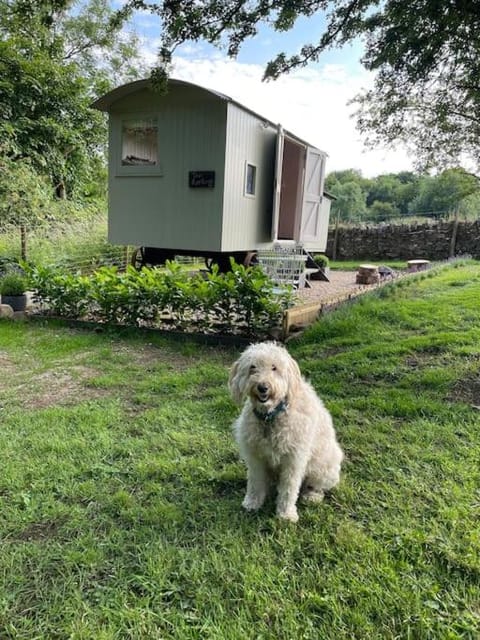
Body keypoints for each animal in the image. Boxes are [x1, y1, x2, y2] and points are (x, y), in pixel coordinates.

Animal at [228, 342, 342, 524]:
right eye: (252, 367)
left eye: (274, 368)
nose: (263, 387)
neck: (270, 417)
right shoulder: (256, 457)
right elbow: (255, 482)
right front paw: (252, 503)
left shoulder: (293, 459)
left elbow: (289, 488)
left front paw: (286, 514)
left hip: (323, 467)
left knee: (317, 486)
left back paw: (312, 496)